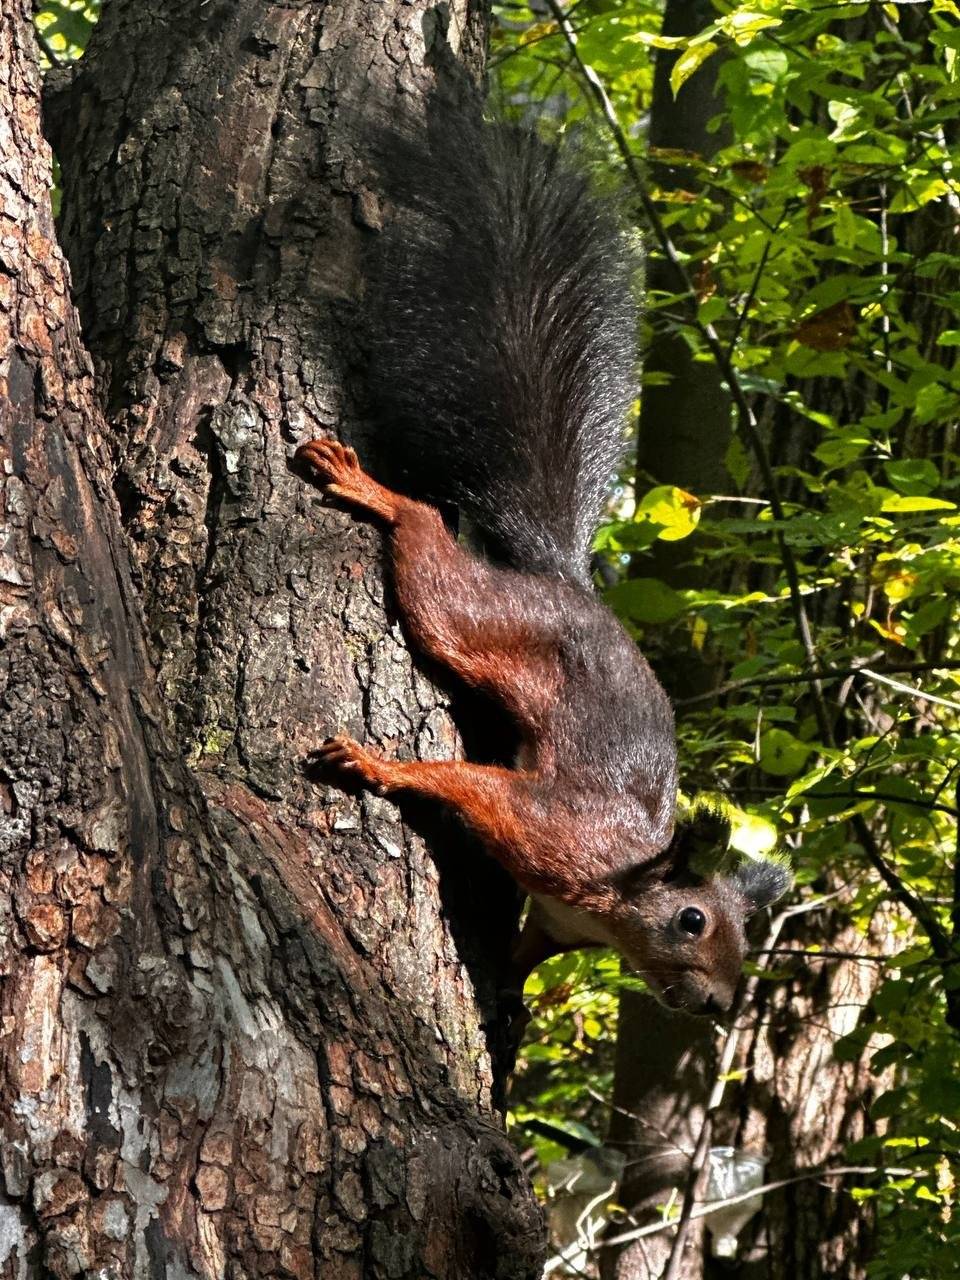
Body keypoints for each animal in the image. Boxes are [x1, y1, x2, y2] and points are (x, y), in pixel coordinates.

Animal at [296, 122, 793, 1018]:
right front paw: (379, 765)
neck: (616, 897)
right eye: (694, 920)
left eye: (743, 935)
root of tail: (563, 579)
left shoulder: (560, 921)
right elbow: (465, 785)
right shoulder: (552, 833)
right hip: (478, 622)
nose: (715, 1006)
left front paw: (513, 1001)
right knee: (432, 551)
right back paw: (374, 491)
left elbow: (528, 953)